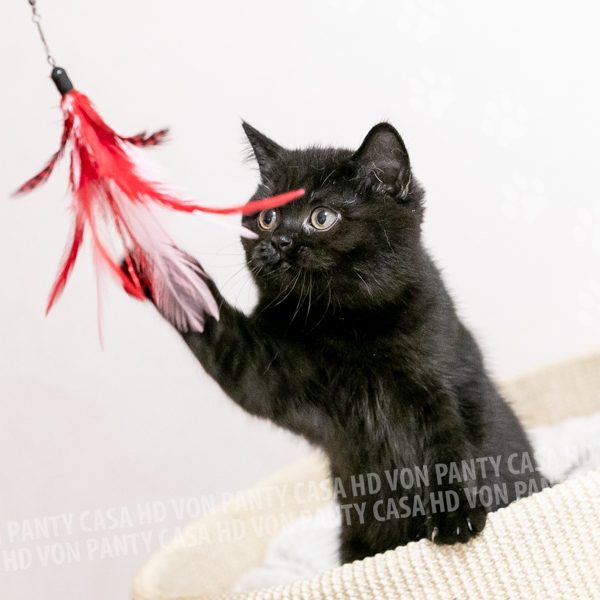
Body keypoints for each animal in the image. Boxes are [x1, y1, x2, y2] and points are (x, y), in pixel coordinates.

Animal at [136, 121, 548, 564]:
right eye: (267, 217)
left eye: (321, 217)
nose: (279, 242)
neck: (341, 324)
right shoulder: (263, 374)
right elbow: (219, 333)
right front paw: (155, 259)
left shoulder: (437, 382)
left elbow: (447, 450)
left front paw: (455, 519)